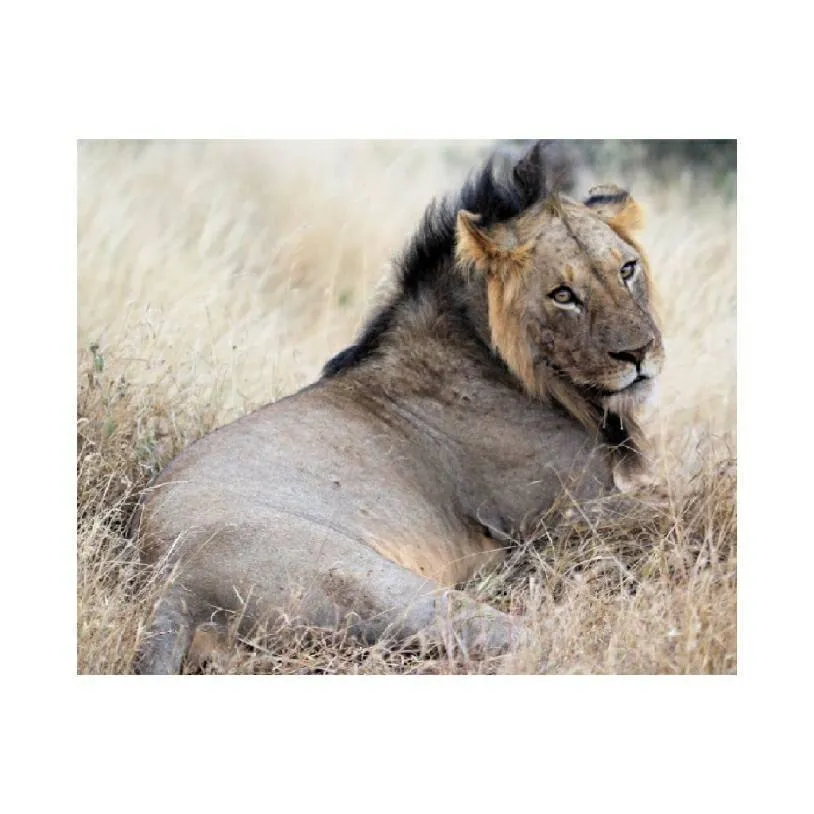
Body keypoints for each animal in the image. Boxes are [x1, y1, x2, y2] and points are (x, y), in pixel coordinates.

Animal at [132, 141, 664, 674]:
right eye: (563, 295)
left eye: (626, 269)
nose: (639, 353)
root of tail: (172, 586)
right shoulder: (565, 518)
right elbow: (671, 509)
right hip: (387, 588)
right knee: (533, 643)